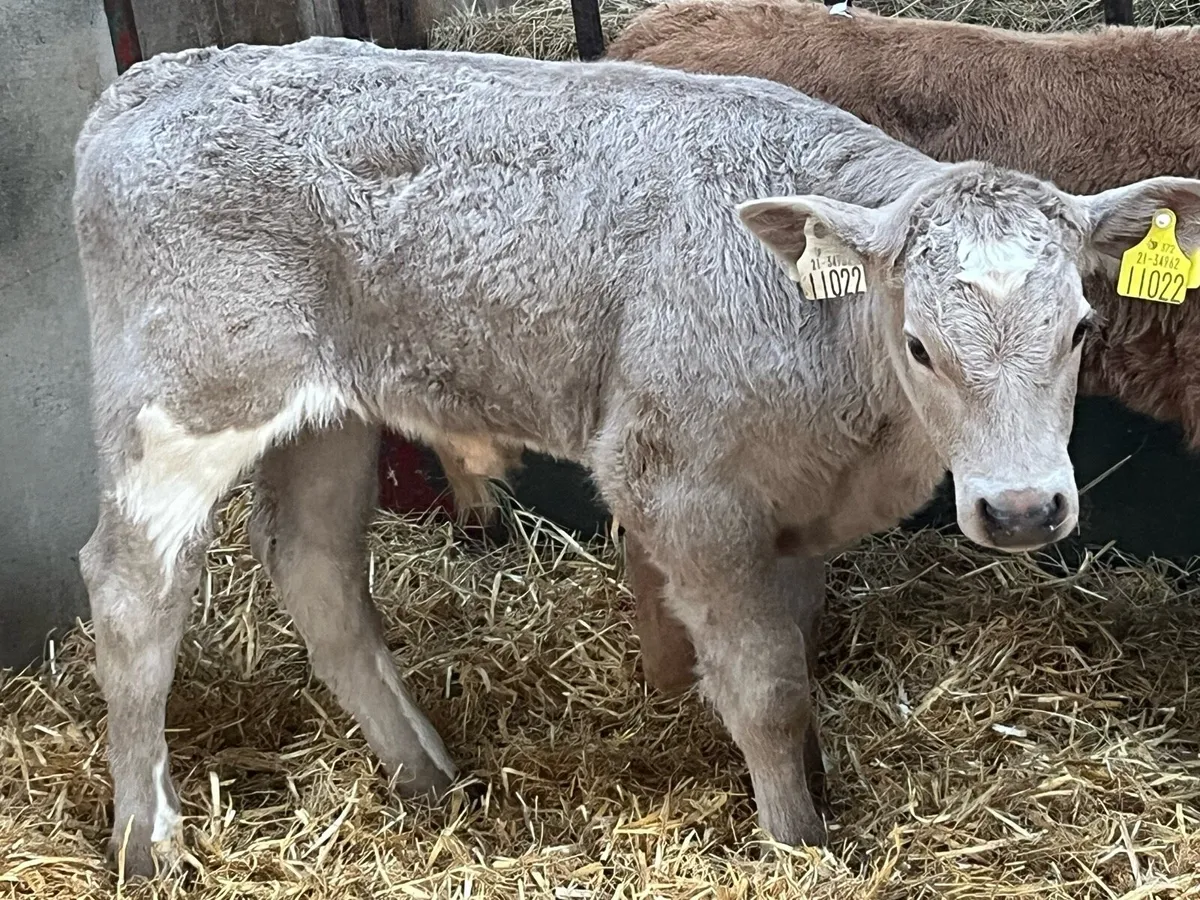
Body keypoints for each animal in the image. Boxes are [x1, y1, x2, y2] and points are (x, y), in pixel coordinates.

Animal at [72, 37, 1200, 876]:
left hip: (328, 415)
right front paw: (798, 846)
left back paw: (429, 776)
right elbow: (765, 689)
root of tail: (159, 75)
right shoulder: (684, 490)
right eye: (921, 343)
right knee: (132, 596)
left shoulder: (793, 505)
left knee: (316, 572)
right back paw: (148, 843)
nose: (1022, 510)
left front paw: (819, 796)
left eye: (1081, 328)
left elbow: (797, 655)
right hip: (188, 404)